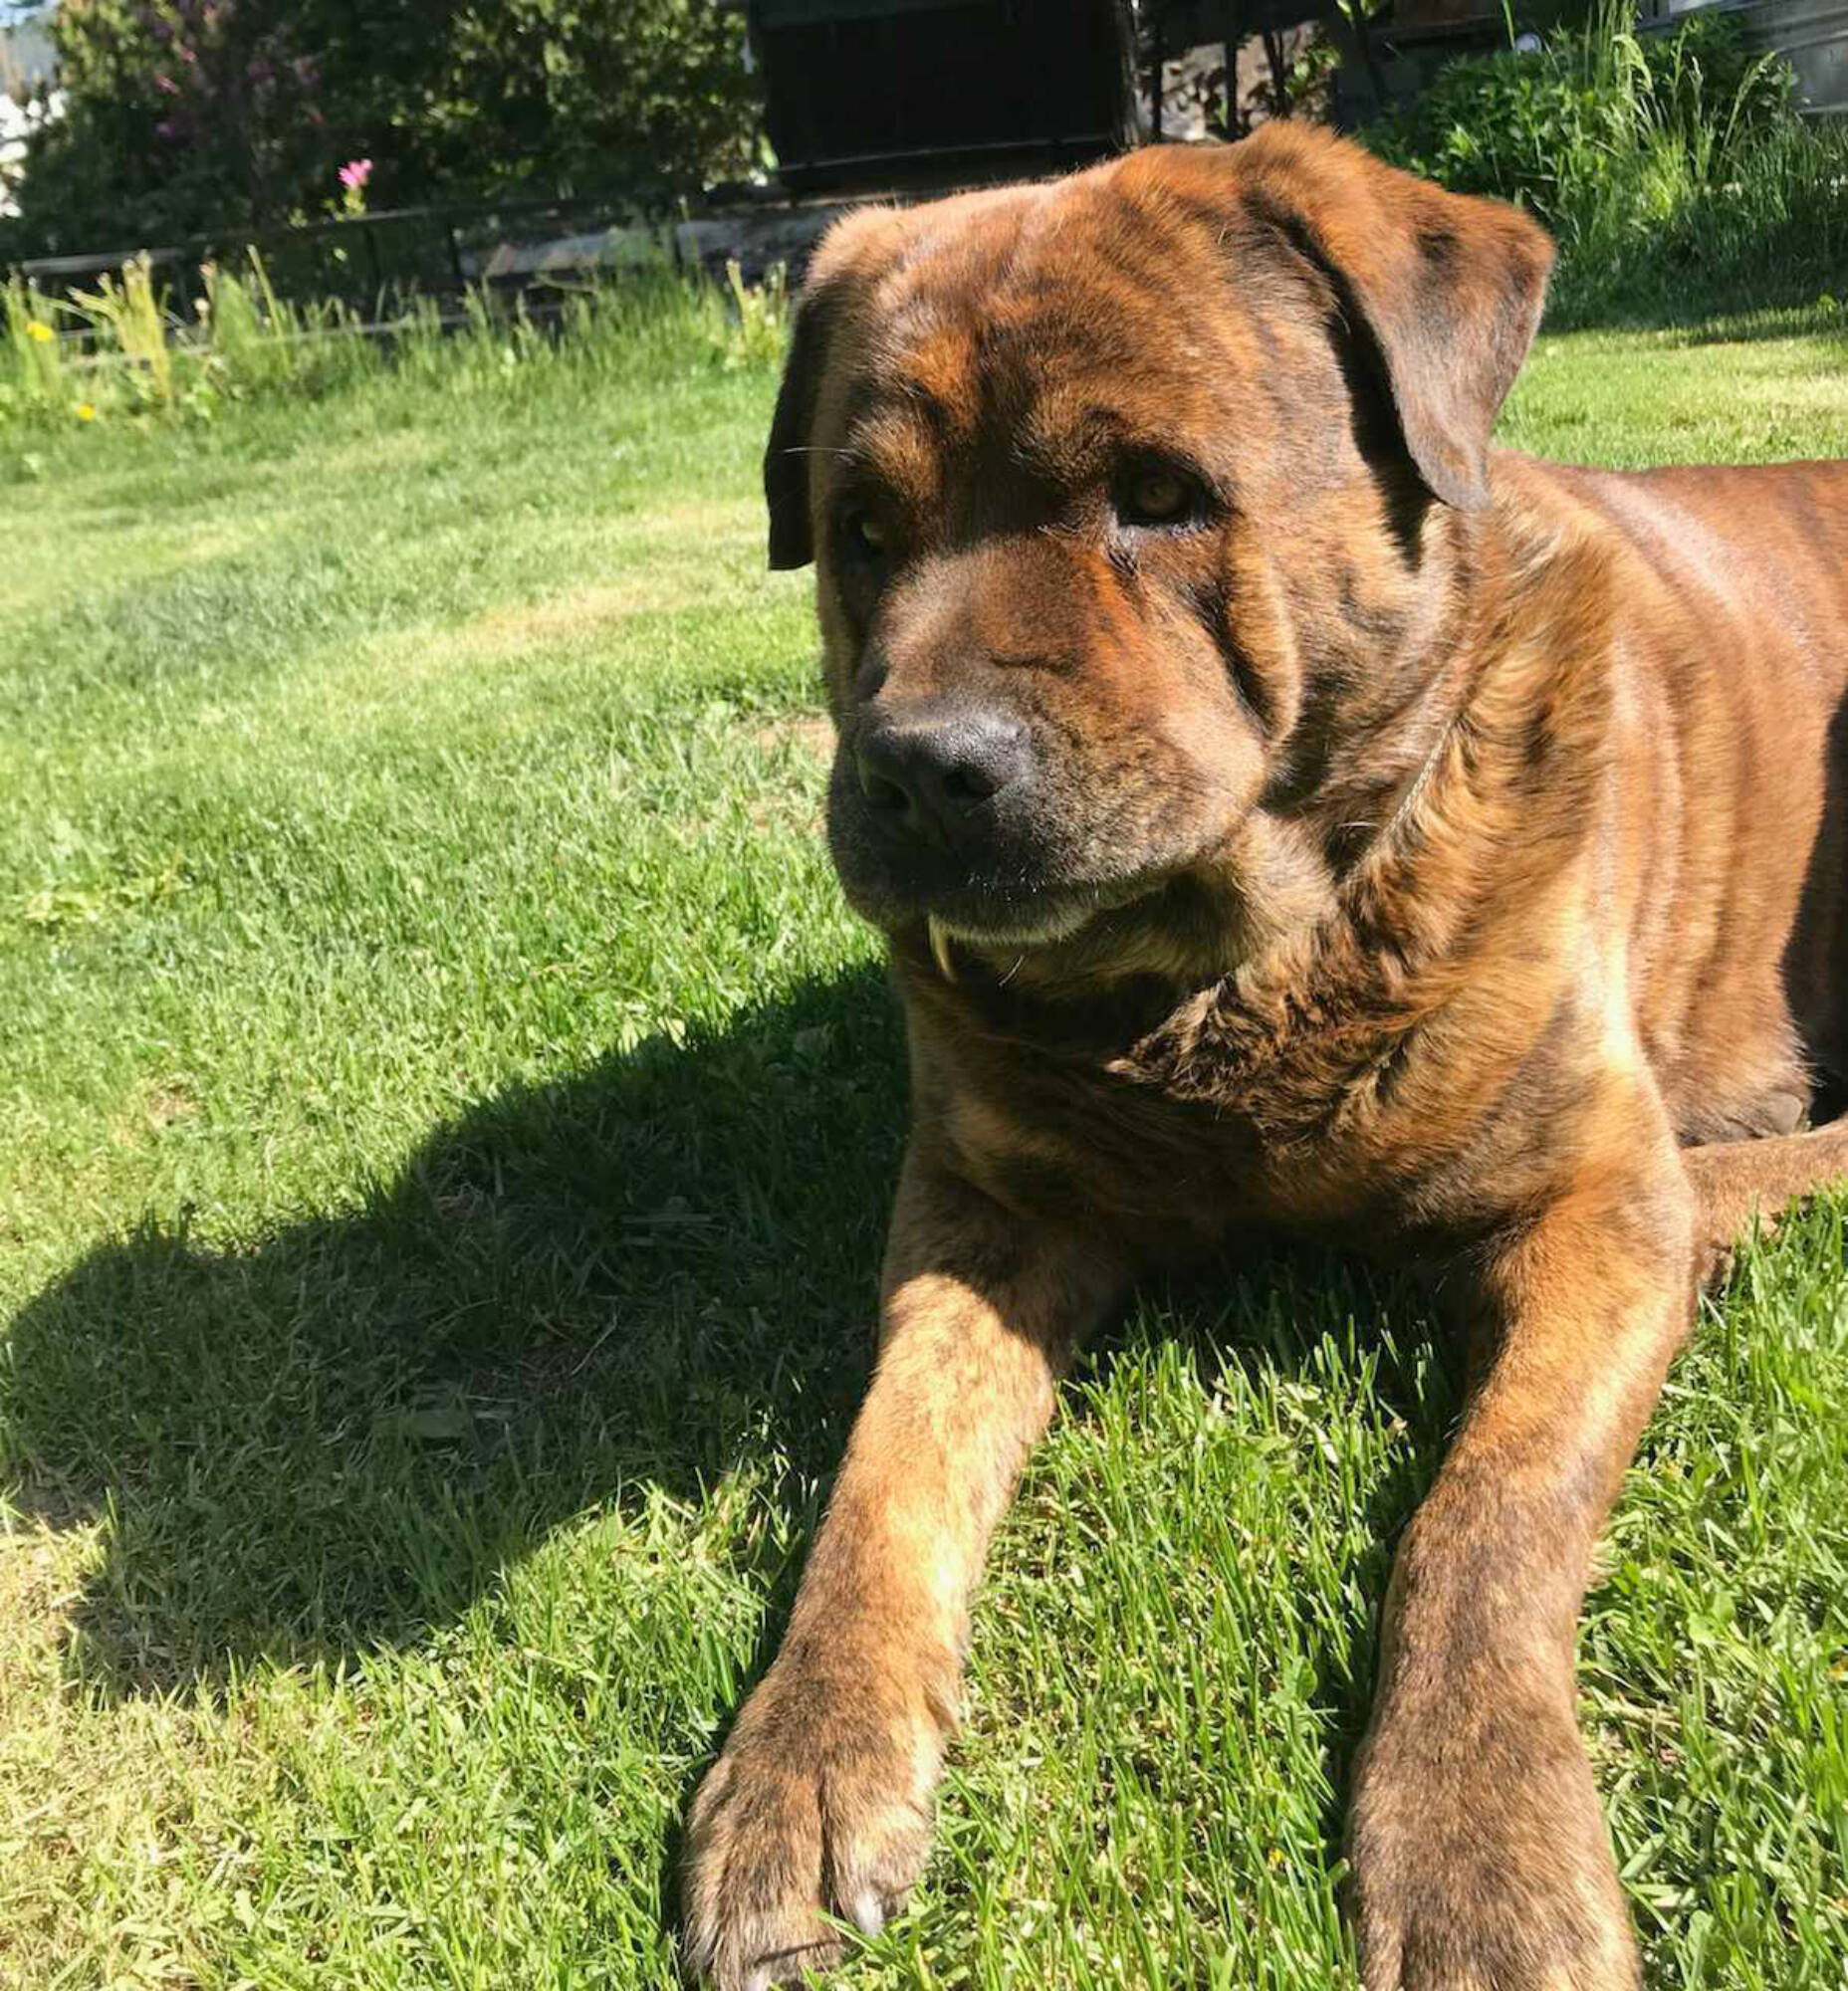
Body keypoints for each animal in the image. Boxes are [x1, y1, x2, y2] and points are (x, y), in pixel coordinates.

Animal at [681, 124, 1848, 1991]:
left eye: (1158, 493)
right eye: (861, 529)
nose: (922, 766)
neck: (1232, 982)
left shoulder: (1593, 1208)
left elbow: (1487, 1513)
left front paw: (1480, 1845)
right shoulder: (980, 1211)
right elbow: (883, 1474)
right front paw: (805, 1758)